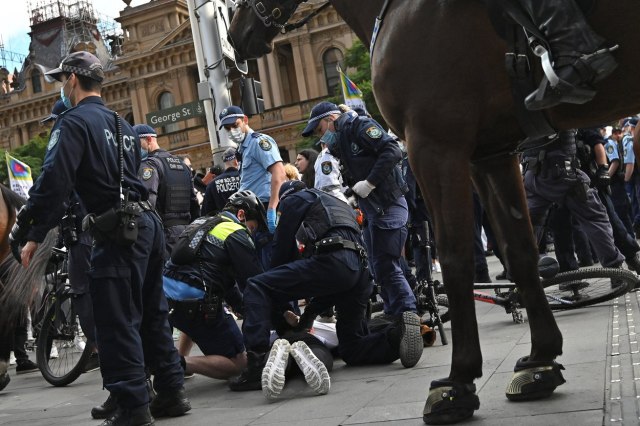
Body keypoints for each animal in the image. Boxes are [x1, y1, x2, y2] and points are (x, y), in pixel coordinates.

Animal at [229, 0, 640, 422]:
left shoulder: (435, 144)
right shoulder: (491, 153)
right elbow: (520, 250)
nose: (234, 38)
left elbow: (455, 256)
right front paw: (540, 362)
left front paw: (458, 383)